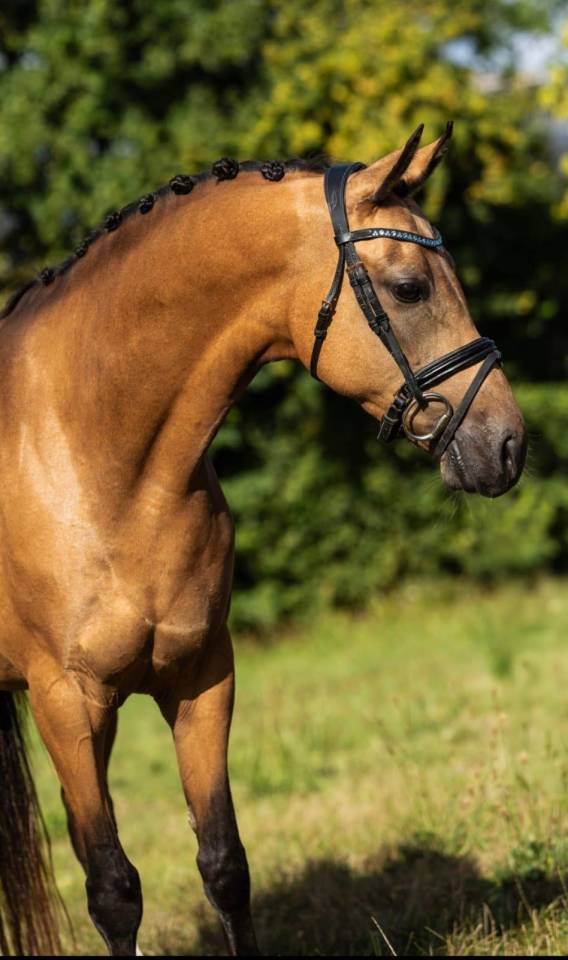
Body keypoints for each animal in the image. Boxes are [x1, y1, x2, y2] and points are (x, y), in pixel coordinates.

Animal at [0, 124, 526, 955]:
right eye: (410, 287)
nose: (508, 445)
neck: (93, 453)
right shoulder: (65, 701)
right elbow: (113, 889)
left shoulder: (199, 677)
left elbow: (224, 863)